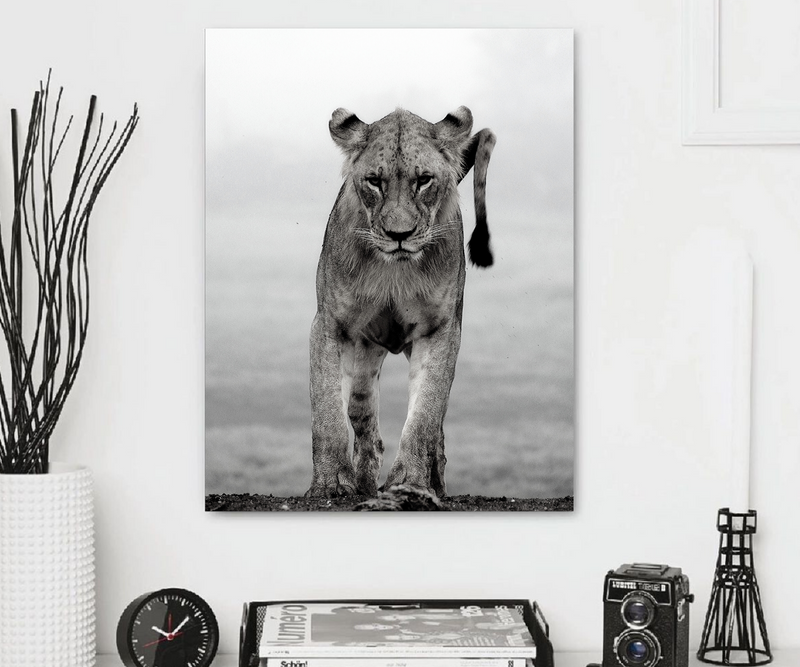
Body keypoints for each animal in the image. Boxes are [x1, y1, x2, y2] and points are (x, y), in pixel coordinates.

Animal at [306, 106, 496, 499]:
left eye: (423, 180)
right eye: (374, 182)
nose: (399, 235)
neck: (393, 270)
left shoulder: (439, 330)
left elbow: (425, 413)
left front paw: (410, 482)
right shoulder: (329, 324)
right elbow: (327, 410)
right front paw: (331, 484)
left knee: (436, 429)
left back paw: (435, 483)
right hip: (364, 353)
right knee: (362, 416)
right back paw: (364, 483)